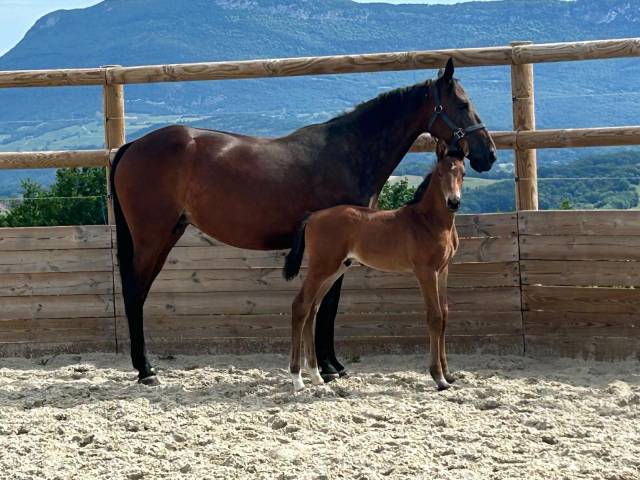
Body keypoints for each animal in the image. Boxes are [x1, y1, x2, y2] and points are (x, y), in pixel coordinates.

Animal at [283, 139, 466, 391]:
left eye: (463, 174)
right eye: (439, 174)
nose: (453, 202)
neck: (428, 221)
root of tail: (313, 216)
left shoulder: (444, 270)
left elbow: (446, 315)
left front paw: (448, 374)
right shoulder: (426, 271)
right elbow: (435, 317)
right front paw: (438, 378)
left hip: (335, 269)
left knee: (312, 308)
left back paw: (317, 376)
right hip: (322, 267)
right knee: (300, 305)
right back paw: (297, 379)